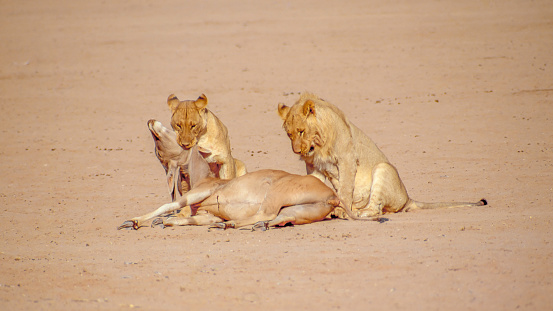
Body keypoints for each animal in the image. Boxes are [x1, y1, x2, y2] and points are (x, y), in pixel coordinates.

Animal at [278, 94, 486, 218]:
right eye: (289, 134)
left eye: (301, 131)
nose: (296, 151)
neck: (318, 145)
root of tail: (407, 198)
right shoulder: (314, 167)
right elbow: (312, 184)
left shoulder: (347, 159)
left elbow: (345, 188)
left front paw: (340, 209)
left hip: (383, 168)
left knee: (376, 209)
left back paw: (356, 213)